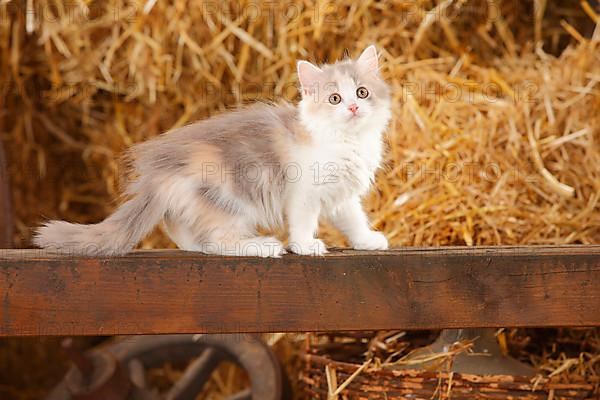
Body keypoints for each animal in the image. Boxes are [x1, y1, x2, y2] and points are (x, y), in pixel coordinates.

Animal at [36, 44, 394, 256]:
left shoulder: (342, 195)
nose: (352, 108)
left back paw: (196, 246)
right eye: (334, 99)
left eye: (362, 93)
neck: (347, 140)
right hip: (229, 203)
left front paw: (367, 240)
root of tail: (158, 175)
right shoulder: (304, 193)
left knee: (189, 234)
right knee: (218, 242)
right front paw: (305, 246)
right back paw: (261, 246)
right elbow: (303, 221)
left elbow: (353, 219)